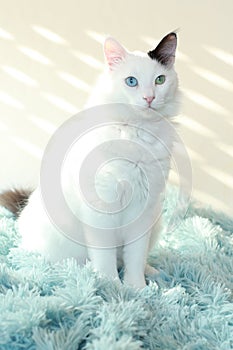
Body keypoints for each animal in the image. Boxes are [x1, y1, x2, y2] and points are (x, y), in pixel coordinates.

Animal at [1, 32, 178, 288]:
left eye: (160, 80)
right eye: (131, 81)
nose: (149, 98)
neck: (136, 133)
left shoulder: (142, 210)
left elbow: (135, 257)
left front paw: (137, 288)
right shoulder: (101, 210)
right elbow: (105, 258)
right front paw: (111, 286)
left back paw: (153, 273)